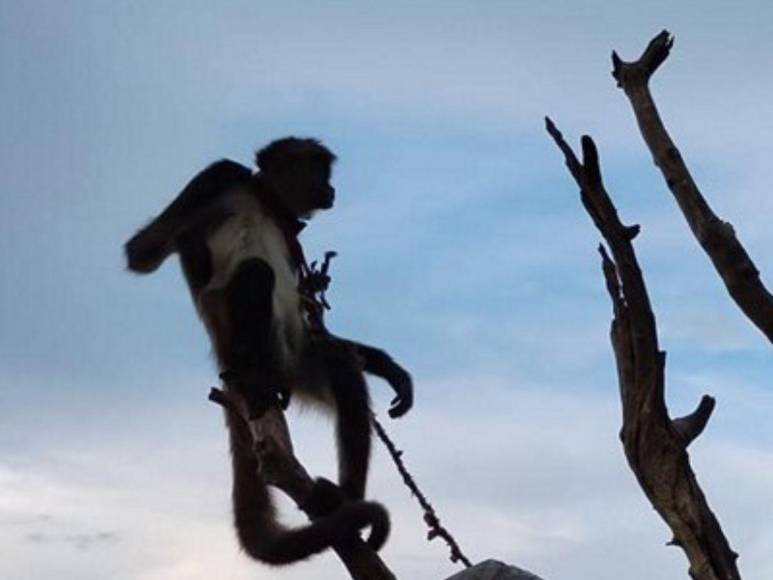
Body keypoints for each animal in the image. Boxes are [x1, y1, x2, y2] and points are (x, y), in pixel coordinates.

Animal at [125, 137, 413, 565]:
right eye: (322, 173)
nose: (332, 191)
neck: (263, 200)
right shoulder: (219, 174)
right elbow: (141, 253)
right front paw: (190, 244)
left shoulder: (292, 235)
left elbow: (323, 334)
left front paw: (388, 367)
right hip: (240, 340)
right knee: (254, 273)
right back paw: (255, 378)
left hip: (296, 361)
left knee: (340, 365)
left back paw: (344, 498)